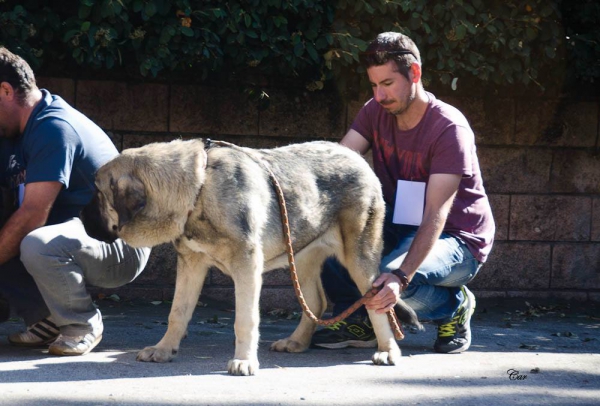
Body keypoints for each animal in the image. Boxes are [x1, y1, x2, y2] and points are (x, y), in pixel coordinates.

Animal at [79, 139, 420, 374]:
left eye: (97, 193)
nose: (79, 216)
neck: (199, 189)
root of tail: (359, 159)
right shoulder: (191, 264)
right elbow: (177, 312)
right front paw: (164, 349)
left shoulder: (247, 266)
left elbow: (245, 318)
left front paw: (243, 361)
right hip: (302, 256)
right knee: (317, 302)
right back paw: (297, 342)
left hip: (359, 259)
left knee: (377, 304)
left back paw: (388, 350)